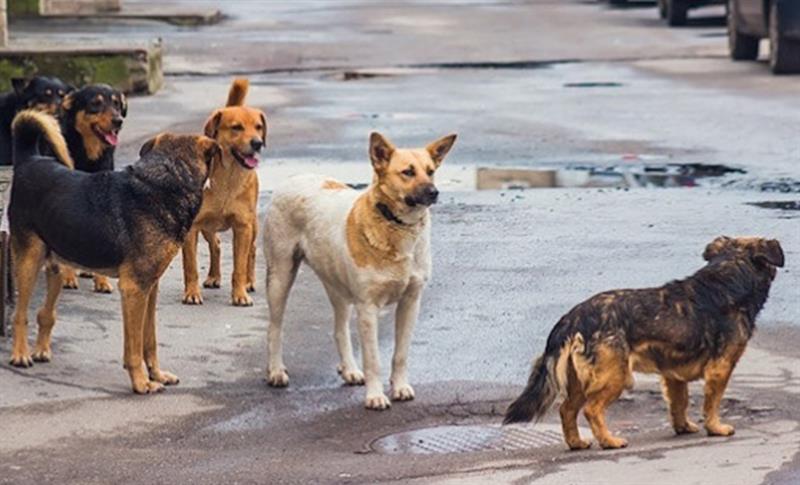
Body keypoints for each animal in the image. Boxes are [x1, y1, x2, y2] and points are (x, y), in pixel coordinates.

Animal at [7, 109, 220, 394]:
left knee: (45, 313)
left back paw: (41, 350)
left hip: (56, 265)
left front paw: (157, 374)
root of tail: (29, 159)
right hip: (28, 261)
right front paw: (141, 382)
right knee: (19, 315)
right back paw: (20, 355)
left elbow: (149, 340)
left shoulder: (150, 288)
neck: (167, 179)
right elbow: (134, 347)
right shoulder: (134, 289)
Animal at [182, 79, 268, 306]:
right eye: (236, 127)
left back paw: (249, 281)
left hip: (252, 226)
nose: (257, 143)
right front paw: (191, 292)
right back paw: (213, 276)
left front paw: (240, 294)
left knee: (251, 251)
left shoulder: (243, 227)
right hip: (207, 227)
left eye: (258, 127)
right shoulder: (192, 228)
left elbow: (239, 266)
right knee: (217, 245)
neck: (228, 178)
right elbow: (190, 266)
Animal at [264, 131, 456, 408]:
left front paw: (400, 387)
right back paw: (276, 371)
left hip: (337, 287)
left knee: (339, 330)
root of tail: (294, 177)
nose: (434, 192)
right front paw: (375, 396)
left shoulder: (411, 302)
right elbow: (373, 359)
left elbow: (400, 354)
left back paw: (349, 369)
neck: (395, 225)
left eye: (430, 171)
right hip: (280, 277)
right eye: (407, 172)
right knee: (274, 328)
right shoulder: (367, 308)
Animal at [504, 236, 784, 448]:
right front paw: (715, 427)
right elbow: (712, 403)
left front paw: (683, 427)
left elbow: (679, 403)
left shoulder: (673, 375)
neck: (729, 275)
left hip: (579, 380)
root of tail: (573, 318)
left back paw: (577, 443)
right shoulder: (720, 368)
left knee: (566, 410)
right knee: (591, 409)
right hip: (615, 376)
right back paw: (609, 441)